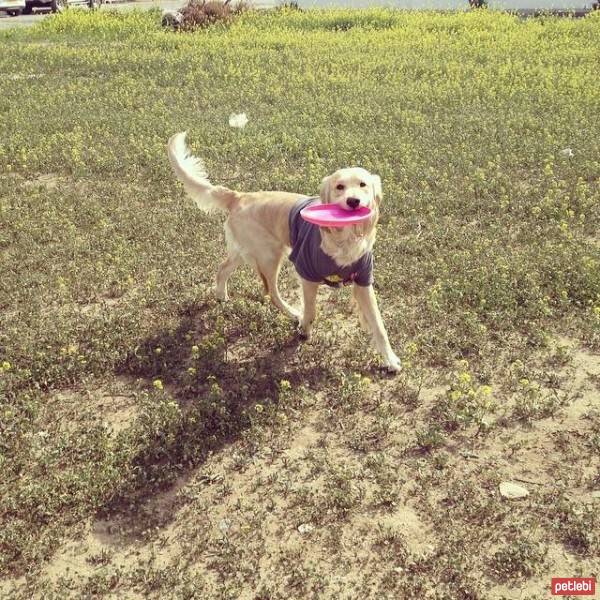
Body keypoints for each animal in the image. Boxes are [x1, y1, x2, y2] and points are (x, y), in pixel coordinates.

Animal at [166, 132, 400, 370]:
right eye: (339, 187)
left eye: (363, 184)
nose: (353, 201)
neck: (343, 239)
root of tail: (240, 196)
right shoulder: (307, 274)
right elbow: (311, 311)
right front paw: (304, 330)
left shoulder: (363, 280)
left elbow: (379, 325)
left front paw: (390, 359)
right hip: (269, 255)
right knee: (271, 292)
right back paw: (293, 313)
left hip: (244, 251)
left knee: (222, 269)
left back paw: (222, 296)